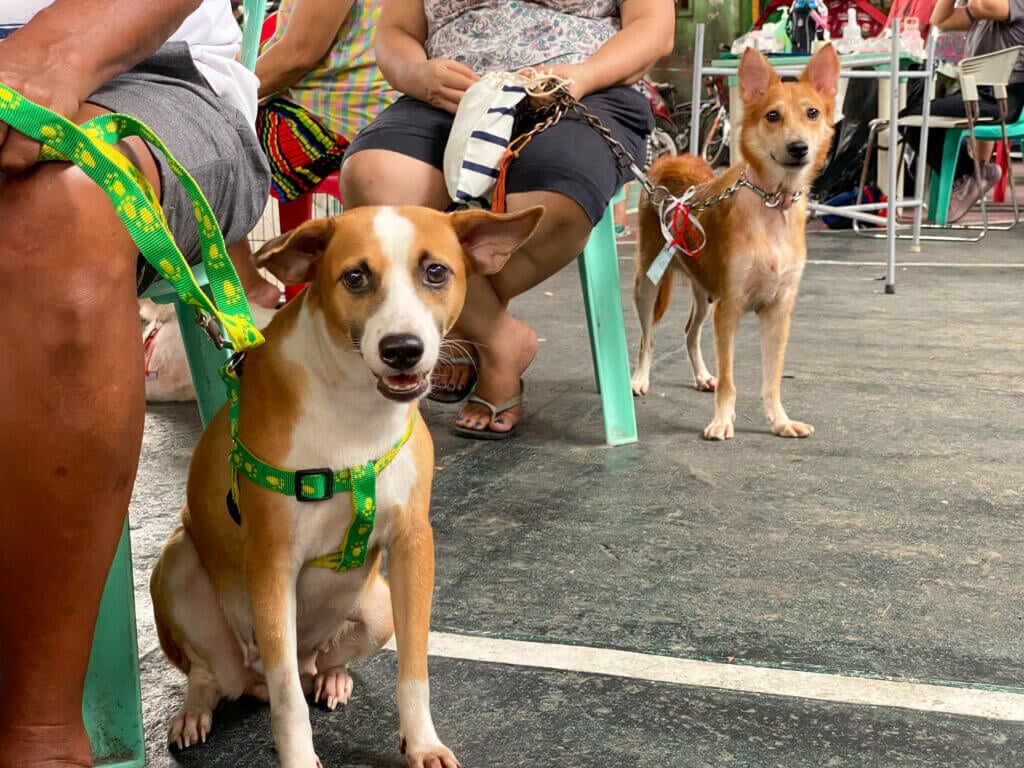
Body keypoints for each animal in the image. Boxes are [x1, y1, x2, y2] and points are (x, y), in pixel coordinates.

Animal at [149, 204, 544, 768]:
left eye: (435, 272)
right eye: (355, 277)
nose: (402, 350)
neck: (355, 409)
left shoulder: (413, 546)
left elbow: (415, 670)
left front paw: (422, 742)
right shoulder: (272, 562)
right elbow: (288, 699)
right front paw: (297, 760)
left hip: (376, 607)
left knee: (320, 664)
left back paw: (332, 679)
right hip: (177, 565)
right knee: (218, 675)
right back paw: (193, 712)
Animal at [630, 45, 839, 442]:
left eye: (812, 113)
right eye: (772, 115)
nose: (798, 148)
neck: (772, 205)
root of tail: (671, 160)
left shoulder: (777, 312)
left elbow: (772, 379)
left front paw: (780, 421)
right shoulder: (729, 309)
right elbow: (730, 380)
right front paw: (722, 421)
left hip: (704, 293)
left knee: (689, 332)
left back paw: (700, 376)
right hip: (648, 284)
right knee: (647, 338)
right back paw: (639, 379)